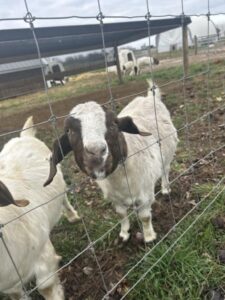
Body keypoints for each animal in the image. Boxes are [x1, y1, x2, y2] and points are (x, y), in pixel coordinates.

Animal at [0, 116, 79, 300]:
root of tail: (24, 136)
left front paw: (57, 294)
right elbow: (17, 296)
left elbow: (45, 286)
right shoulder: (9, 285)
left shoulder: (44, 254)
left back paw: (73, 216)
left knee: (64, 198)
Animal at [44, 80, 178, 244]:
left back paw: (165, 189)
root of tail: (149, 98)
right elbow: (121, 215)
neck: (121, 178)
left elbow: (145, 217)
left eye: (114, 124)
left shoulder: (145, 196)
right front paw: (124, 234)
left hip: (167, 155)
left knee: (166, 170)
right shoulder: (115, 199)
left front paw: (149, 237)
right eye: (69, 131)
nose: (96, 151)